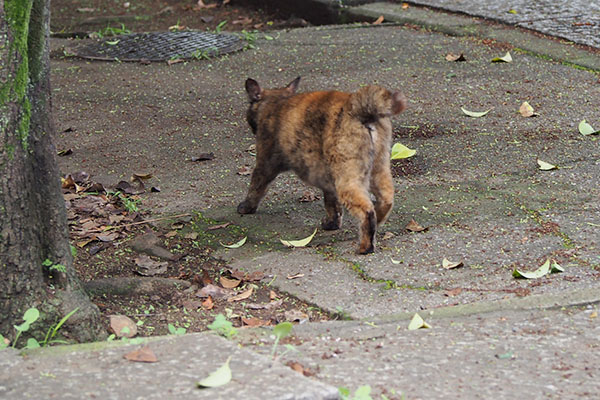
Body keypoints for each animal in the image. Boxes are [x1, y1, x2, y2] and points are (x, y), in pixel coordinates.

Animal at [237, 76, 406, 253]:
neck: (276, 100)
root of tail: (361, 110)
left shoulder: (265, 163)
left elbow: (255, 187)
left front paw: (246, 207)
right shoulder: (327, 179)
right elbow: (332, 204)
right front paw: (332, 223)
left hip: (347, 179)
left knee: (366, 210)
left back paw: (365, 247)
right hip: (378, 169)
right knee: (386, 199)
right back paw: (378, 221)